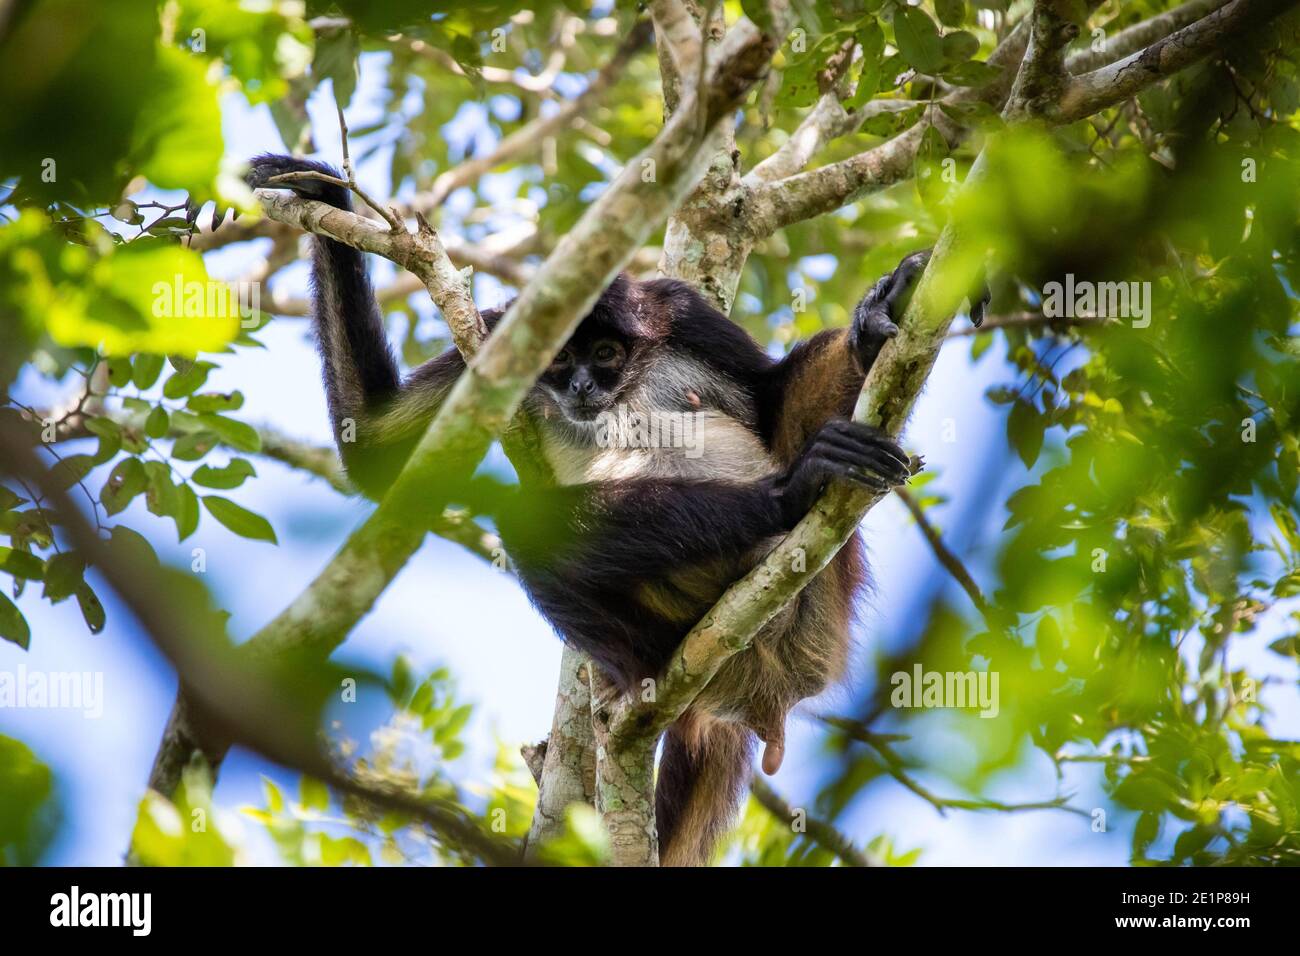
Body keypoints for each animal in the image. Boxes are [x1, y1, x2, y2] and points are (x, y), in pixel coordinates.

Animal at [244, 155, 977, 868]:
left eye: (603, 355)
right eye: (562, 358)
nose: (580, 386)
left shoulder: (680, 310)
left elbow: (768, 399)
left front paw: (879, 316)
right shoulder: (500, 336)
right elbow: (376, 451)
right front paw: (322, 195)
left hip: (820, 601)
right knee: (532, 530)